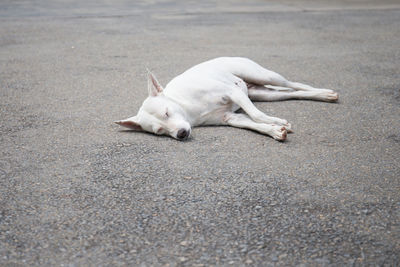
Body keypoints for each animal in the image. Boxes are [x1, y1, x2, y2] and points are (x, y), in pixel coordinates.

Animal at [115, 57, 338, 141]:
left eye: (167, 112)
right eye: (159, 131)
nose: (180, 134)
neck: (187, 107)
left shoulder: (233, 93)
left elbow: (257, 115)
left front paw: (275, 121)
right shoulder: (231, 118)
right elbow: (254, 123)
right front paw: (275, 130)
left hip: (263, 76)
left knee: (293, 84)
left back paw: (324, 92)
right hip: (264, 94)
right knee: (291, 93)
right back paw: (321, 95)